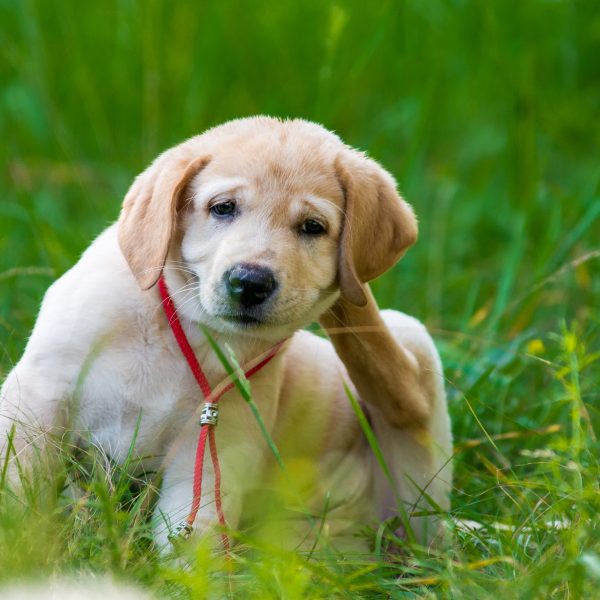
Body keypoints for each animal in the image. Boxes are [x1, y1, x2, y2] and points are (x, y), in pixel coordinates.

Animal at [0, 117, 450, 552]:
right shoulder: (39, 397)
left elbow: (194, 542)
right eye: (223, 208)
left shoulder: (214, 446)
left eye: (312, 227)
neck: (184, 328)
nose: (250, 282)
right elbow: (19, 488)